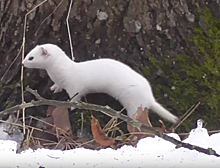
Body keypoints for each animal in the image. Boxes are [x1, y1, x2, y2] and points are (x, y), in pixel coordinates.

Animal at [22, 44, 179, 122]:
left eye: (31, 57)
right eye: (28, 53)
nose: (22, 63)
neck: (60, 74)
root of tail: (150, 97)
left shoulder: (75, 87)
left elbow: (75, 98)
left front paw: (71, 106)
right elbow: (58, 86)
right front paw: (55, 88)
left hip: (134, 104)